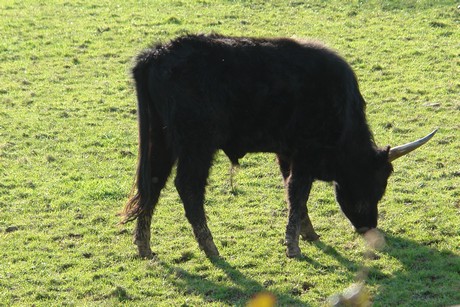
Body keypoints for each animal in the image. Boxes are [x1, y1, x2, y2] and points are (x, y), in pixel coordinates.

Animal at [121, 34, 434, 260]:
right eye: (377, 183)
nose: (369, 227)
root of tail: (158, 53)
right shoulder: (305, 154)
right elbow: (297, 192)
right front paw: (294, 247)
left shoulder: (287, 154)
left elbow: (292, 192)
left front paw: (308, 233)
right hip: (196, 146)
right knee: (189, 189)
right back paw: (210, 248)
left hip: (160, 142)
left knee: (152, 186)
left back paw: (144, 248)